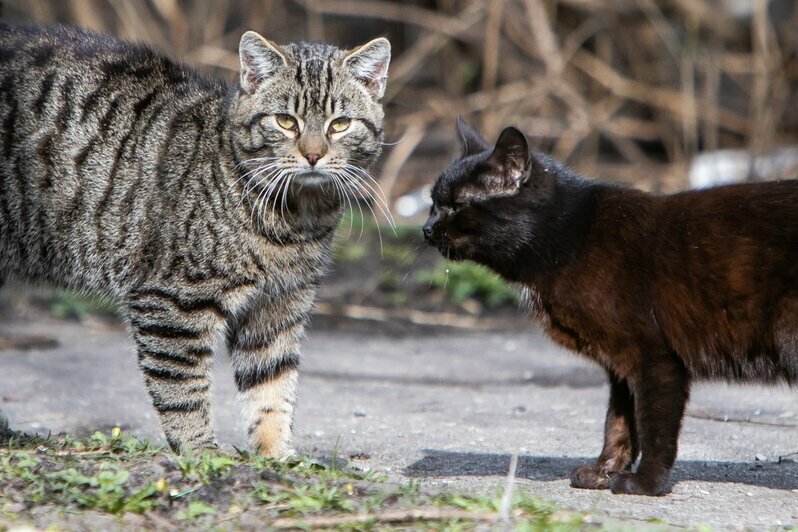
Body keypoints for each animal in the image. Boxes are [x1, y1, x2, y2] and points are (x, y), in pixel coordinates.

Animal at [0, 23, 392, 458]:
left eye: (340, 124)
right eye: (286, 121)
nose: (313, 155)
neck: (298, 218)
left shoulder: (280, 307)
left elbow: (271, 388)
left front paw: (276, 456)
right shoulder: (172, 303)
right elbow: (182, 390)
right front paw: (201, 454)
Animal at [424, 118, 798, 496]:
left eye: (457, 205)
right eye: (432, 203)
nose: (426, 228)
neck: (571, 235)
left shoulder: (654, 357)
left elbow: (652, 426)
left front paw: (645, 483)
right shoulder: (619, 365)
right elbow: (618, 423)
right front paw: (604, 472)